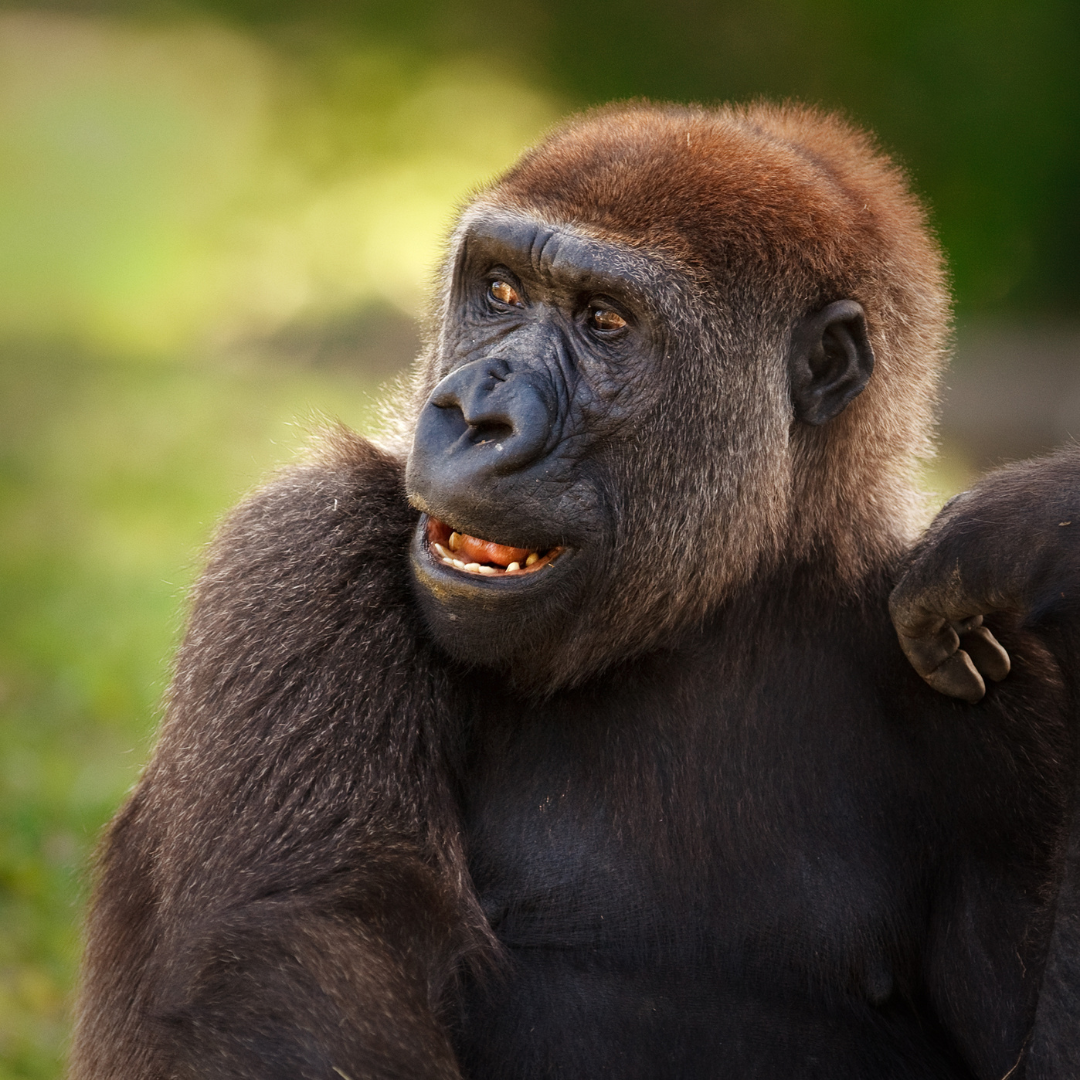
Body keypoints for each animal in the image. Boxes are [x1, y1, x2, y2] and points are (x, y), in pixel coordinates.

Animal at [69, 101, 1080, 1079]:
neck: (714, 610)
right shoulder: (299, 557)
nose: (474, 411)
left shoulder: (1002, 713)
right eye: (500, 292)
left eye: (605, 322)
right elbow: (281, 990)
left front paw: (1049, 528)